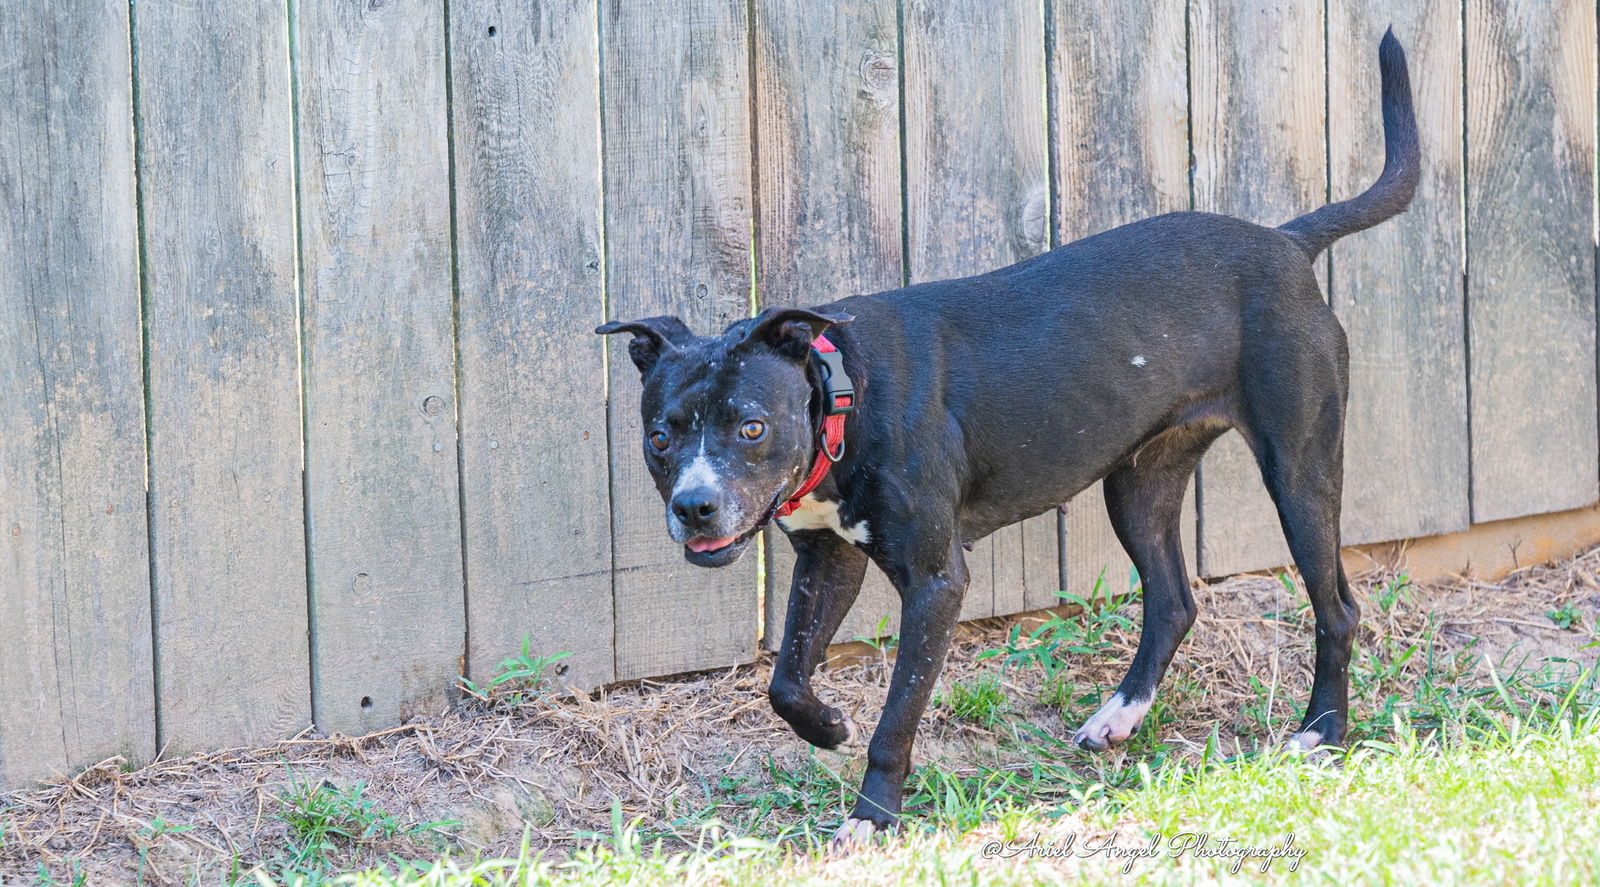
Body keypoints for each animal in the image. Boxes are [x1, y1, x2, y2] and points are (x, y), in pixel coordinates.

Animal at [598, 29, 1414, 832]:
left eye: (752, 427)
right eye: (661, 439)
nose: (694, 506)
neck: (842, 395)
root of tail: (1286, 241)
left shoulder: (935, 582)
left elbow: (898, 715)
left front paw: (873, 814)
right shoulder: (829, 560)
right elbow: (786, 679)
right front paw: (827, 726)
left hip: (1300, 471)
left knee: (1337, 608)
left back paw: (1321, 731)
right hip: (1138, 485)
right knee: (1173, 600)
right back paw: (1121, 716)